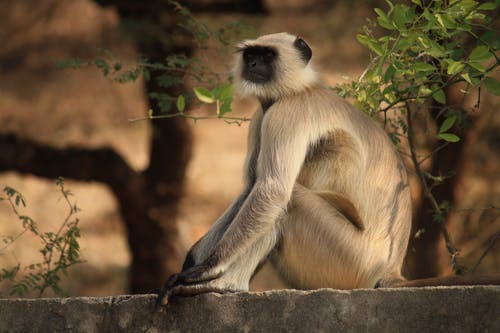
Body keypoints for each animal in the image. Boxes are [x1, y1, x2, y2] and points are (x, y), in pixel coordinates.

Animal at [156, 32, 496, 304]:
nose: (252, 65)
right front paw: (192, 259)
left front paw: (205, 270)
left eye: (267, 56)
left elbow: (271, 189)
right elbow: (253, 185)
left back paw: (227, 285)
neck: (300, 90)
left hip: (350, 260)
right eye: (251, 55)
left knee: (289, 200)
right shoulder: (262, 116)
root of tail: (391, 269)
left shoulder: (287, 112)